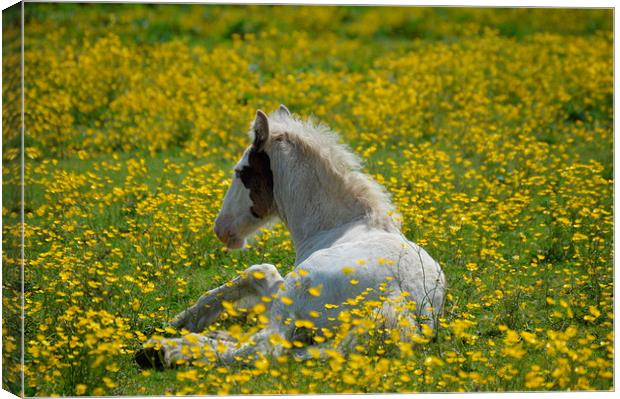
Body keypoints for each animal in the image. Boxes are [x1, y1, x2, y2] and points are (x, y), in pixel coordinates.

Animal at [136, 104, 446, 370]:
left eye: (240, 172)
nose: (222, 230)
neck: (338, 225)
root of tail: (398, 299)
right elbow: (258, 273)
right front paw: (185, 321)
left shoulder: (285, 291)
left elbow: (257, 270)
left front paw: (181, 324)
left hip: (296, 290)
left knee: (263, 347)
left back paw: (161, 351)